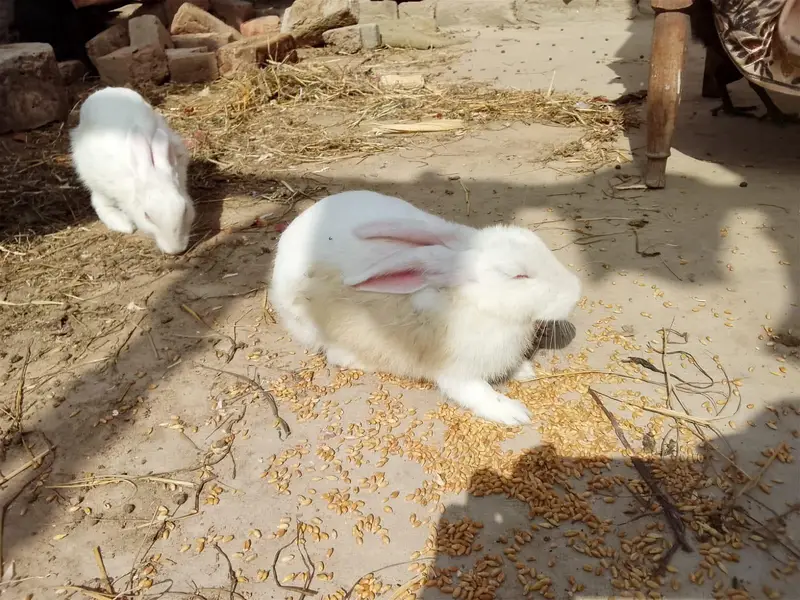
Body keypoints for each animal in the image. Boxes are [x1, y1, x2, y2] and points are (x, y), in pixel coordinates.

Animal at [70, 87, 195, 255]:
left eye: (185, 209)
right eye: (147, 216)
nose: (176, 250)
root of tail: (103, 92)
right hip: (92, 178)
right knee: (98, 202)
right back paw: (122, 223)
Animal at [268, 190, 582, 426]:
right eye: (518, 275)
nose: (576, 292)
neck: (474, 303)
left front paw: (525, 370)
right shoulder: (456, 373)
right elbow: (477, 393)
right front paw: (515, 413)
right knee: (335, 354)